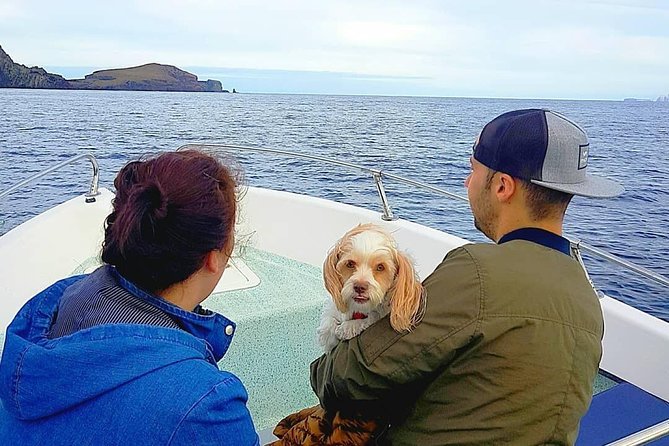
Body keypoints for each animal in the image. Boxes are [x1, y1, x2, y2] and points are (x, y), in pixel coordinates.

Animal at [318, 223, 422, 352]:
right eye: (350, 264)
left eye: (380, 267)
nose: (359, 287)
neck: (359, 310)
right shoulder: (333, 308)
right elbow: (329, 321)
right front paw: (330, 335)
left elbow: (372, 318)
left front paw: (348, 327)